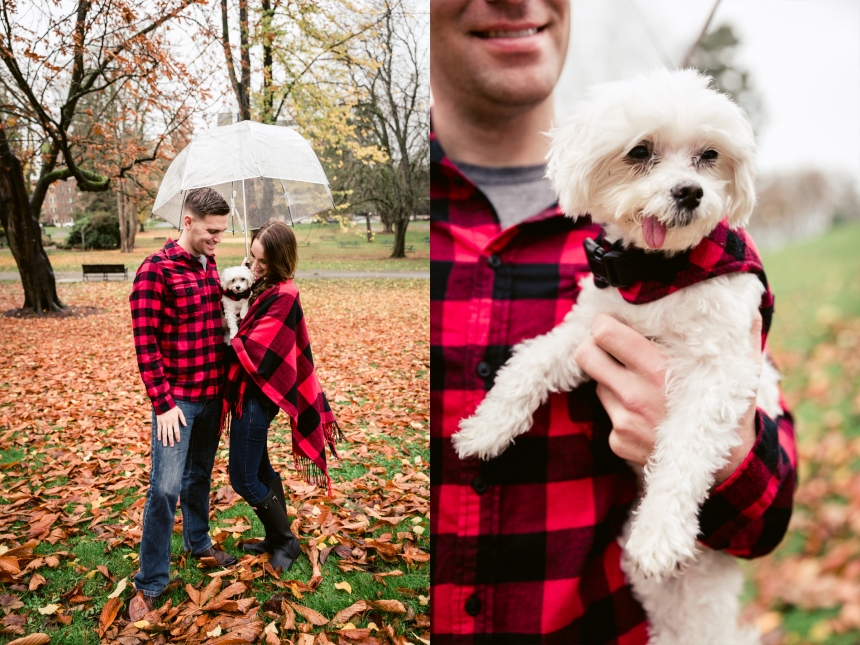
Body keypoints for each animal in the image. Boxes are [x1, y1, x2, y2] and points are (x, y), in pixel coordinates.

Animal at [450, 68, 780, 640]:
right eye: (640, 151)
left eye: (709, 155)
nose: (689, 192)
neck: (659, 274)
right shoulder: (590, 330)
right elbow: (528, 364)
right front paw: (484, 430)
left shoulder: (719, 371)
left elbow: (685, 449)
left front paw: (661, 532)